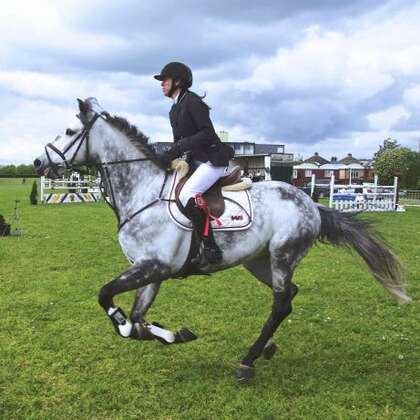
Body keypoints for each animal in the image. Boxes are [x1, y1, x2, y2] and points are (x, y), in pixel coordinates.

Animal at [32, 97, 410, 380]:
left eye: (69, 131)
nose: (37, 162)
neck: (143, 192)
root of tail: (311, 203)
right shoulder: (151, 271)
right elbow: (137, 322)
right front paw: (173, 333)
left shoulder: (153, 267)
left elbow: (107, 297)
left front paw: (142, 326)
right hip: (259, 262)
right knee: (289, 296)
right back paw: (265, 349)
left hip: (282, 255)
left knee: (280, 302)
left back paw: (248, 360)